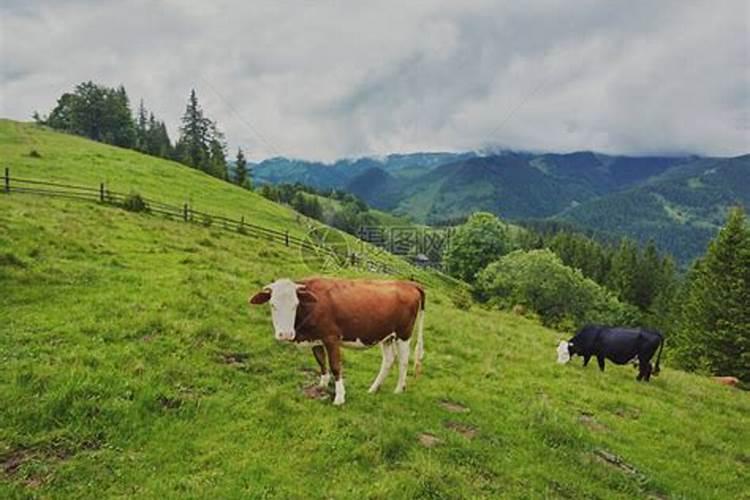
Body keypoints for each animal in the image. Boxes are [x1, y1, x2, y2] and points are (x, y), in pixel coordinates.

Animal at [250, 278, 426, 406]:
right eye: (272, 305)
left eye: (296, 304)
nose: (285, 334)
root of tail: (409, 283)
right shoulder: (316, 339)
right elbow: (321, 362)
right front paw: (321, 386)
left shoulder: (331, 337)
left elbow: (335, 366)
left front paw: (339, 398)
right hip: (387, 336)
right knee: (389, 360)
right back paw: (373, 389)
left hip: (404, 334)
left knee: (403, 361)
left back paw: (399, 389)